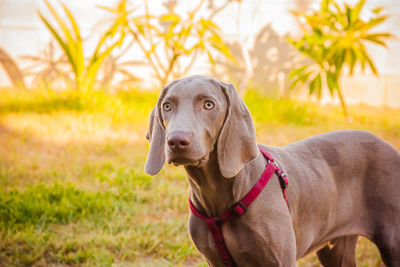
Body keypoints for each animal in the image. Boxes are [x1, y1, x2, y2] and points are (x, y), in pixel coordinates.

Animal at [145, 76, 400, 267]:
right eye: (167, 106)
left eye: (209, 104)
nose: (176, 141)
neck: (217, 196)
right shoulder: (215, 261)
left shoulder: (281, 261)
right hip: (336, 249)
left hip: (392, 242)